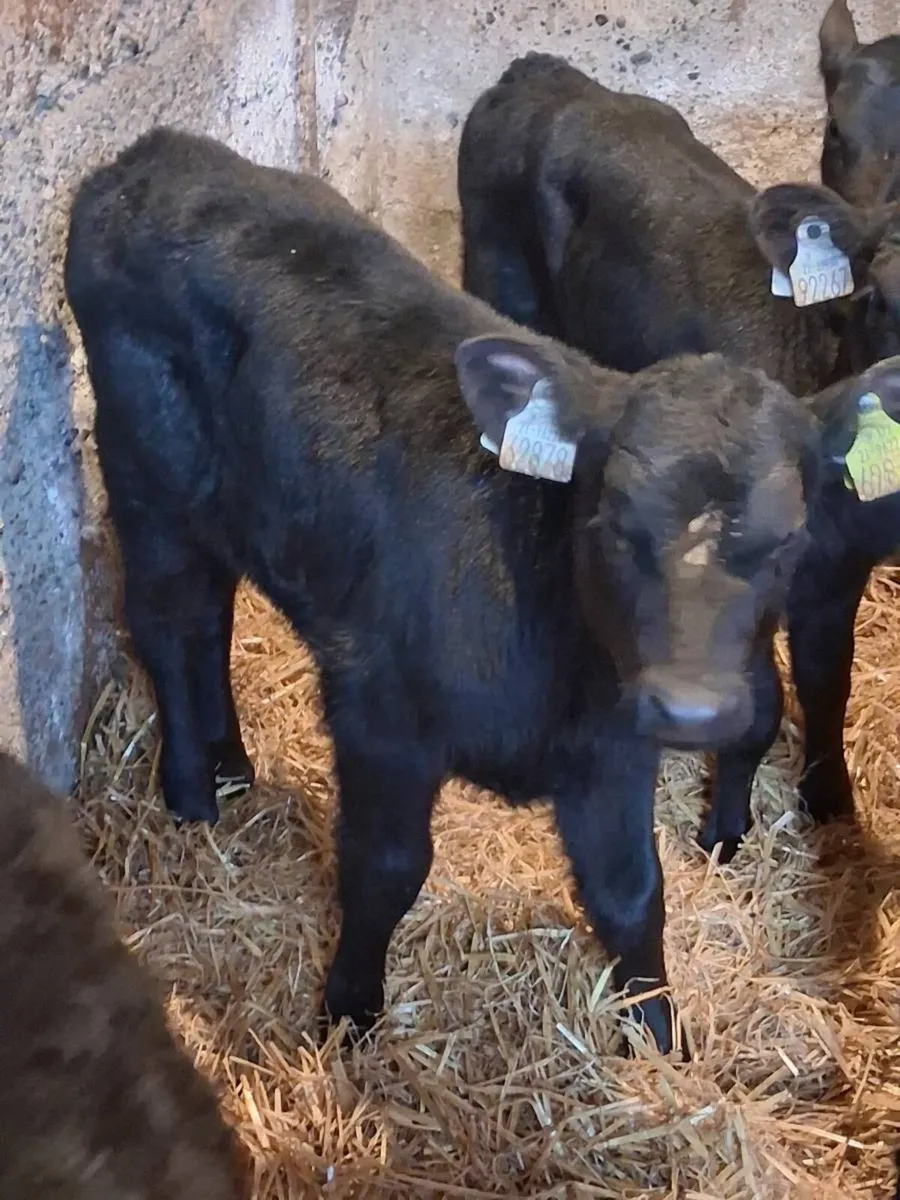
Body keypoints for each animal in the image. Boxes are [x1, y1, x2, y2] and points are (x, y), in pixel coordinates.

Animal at [63, 128, 884, 1054]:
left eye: (788, 535)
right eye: (612, 520)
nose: (692, 710)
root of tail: (156, 152)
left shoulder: (611, 750)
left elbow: (633, 893)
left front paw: (658, 1038)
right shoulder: (378, 714)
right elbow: (385, 869)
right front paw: (347, 1015)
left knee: (212, 617)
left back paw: (233, 767)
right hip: (144, 476)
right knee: (172, 622)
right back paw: (192, 796)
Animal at [457, 52, 900, 847]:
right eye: (879, 297)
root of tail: (539, 69)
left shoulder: (834, 572)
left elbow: (828, 683)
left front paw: (832, 805)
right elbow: (760, 700)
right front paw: (725, 827)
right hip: (496, 279)